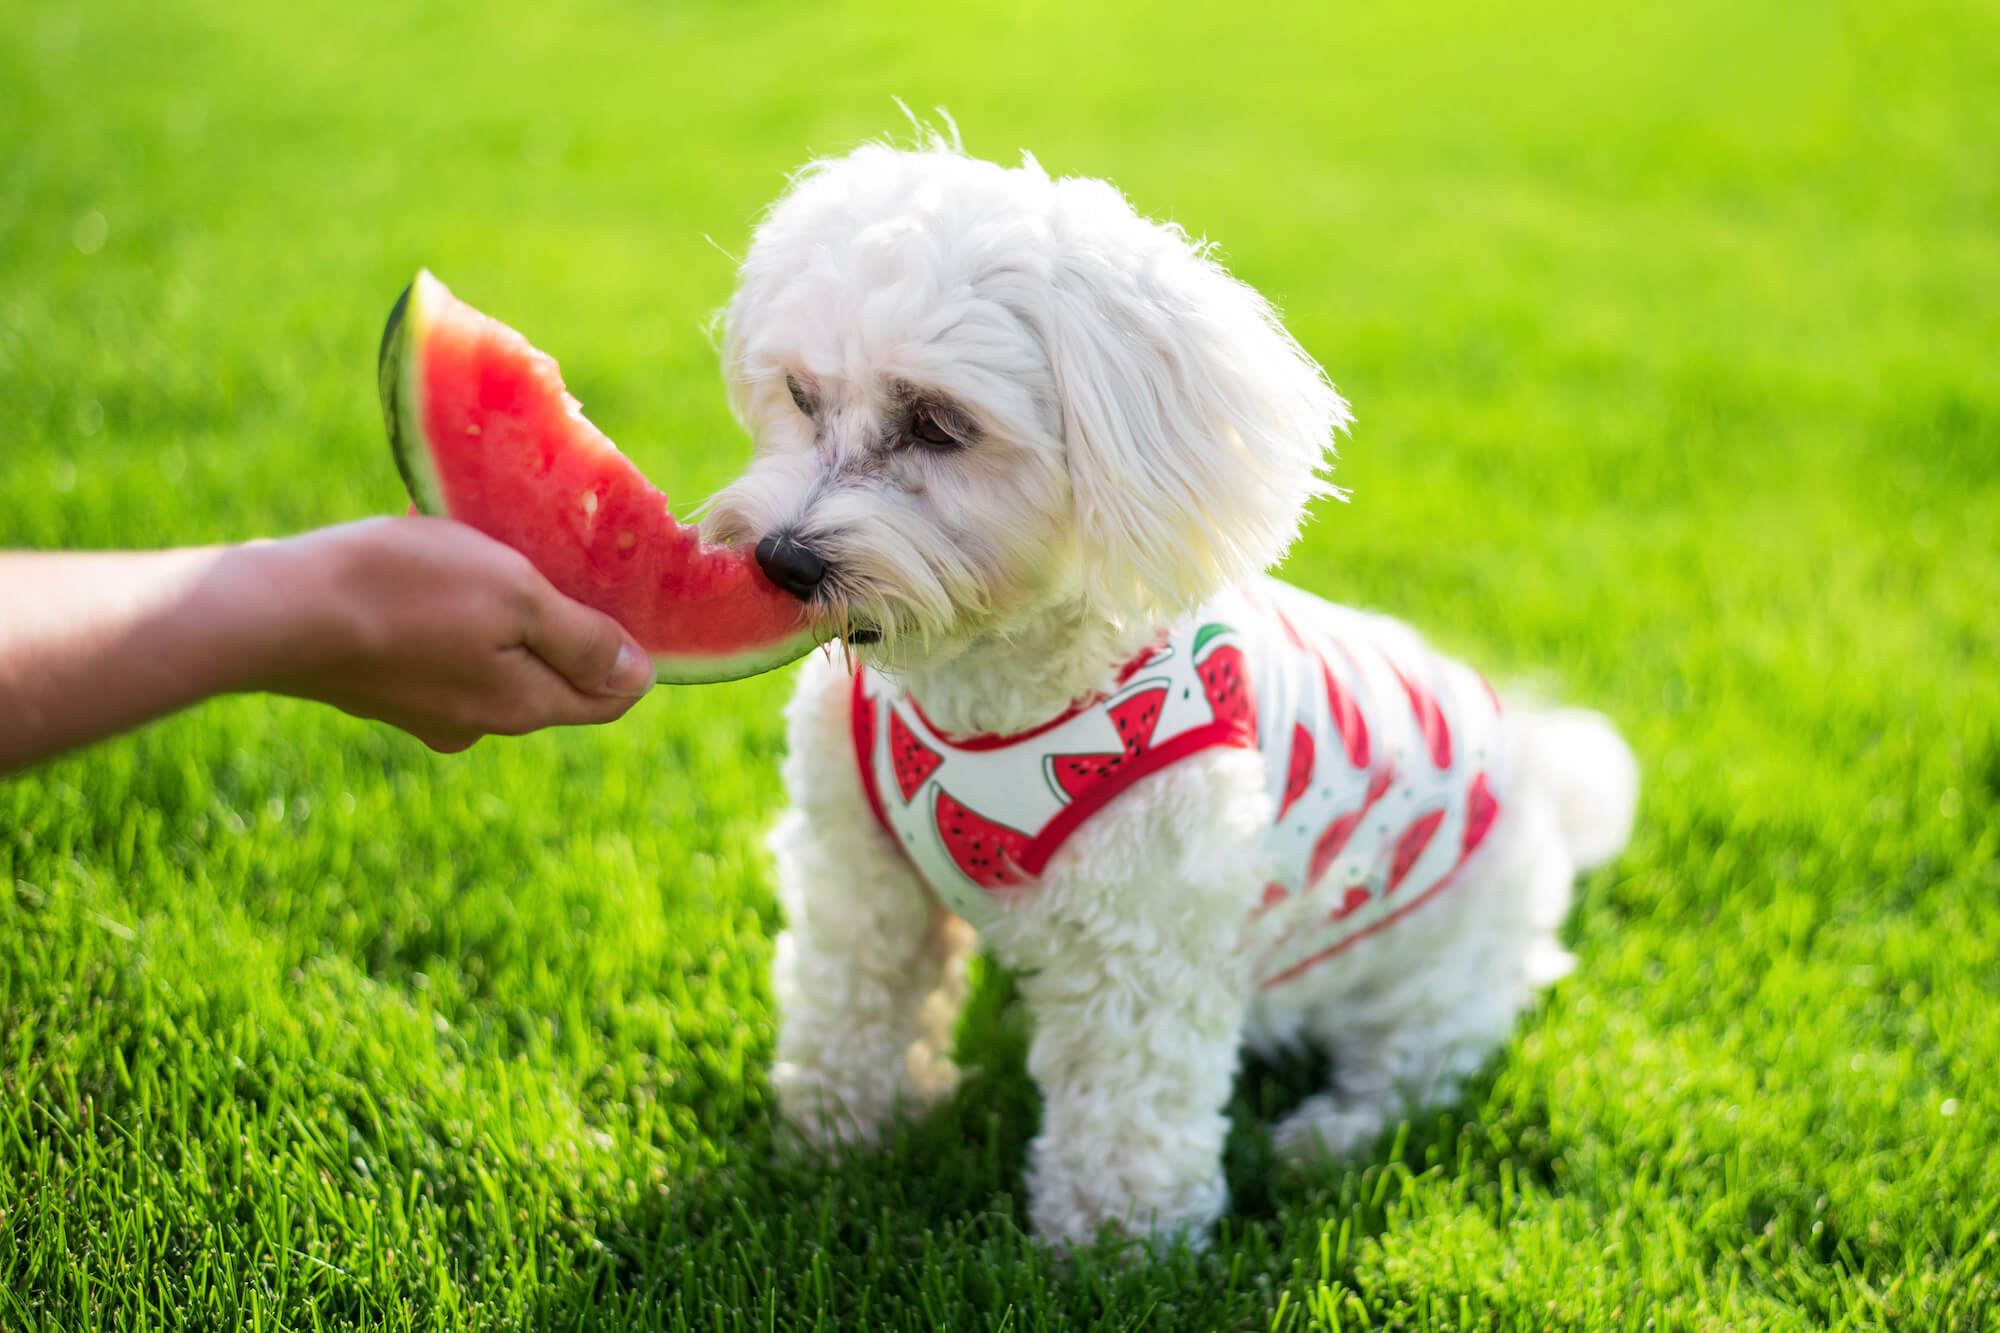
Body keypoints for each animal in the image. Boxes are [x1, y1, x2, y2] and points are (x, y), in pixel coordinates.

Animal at [708, 137, 1640, 1248]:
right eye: (801, 397)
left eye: (937, 424)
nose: (781, 560)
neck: (979, 696)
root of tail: (1547, 778)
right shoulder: (859, 871)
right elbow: (850, 1004)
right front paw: (835, 1139)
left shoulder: (1144, 932)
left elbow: (1129, 1106)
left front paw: (1114, 1247)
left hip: (1435, 966)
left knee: (1418, 1066)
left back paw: (1320, 1137)